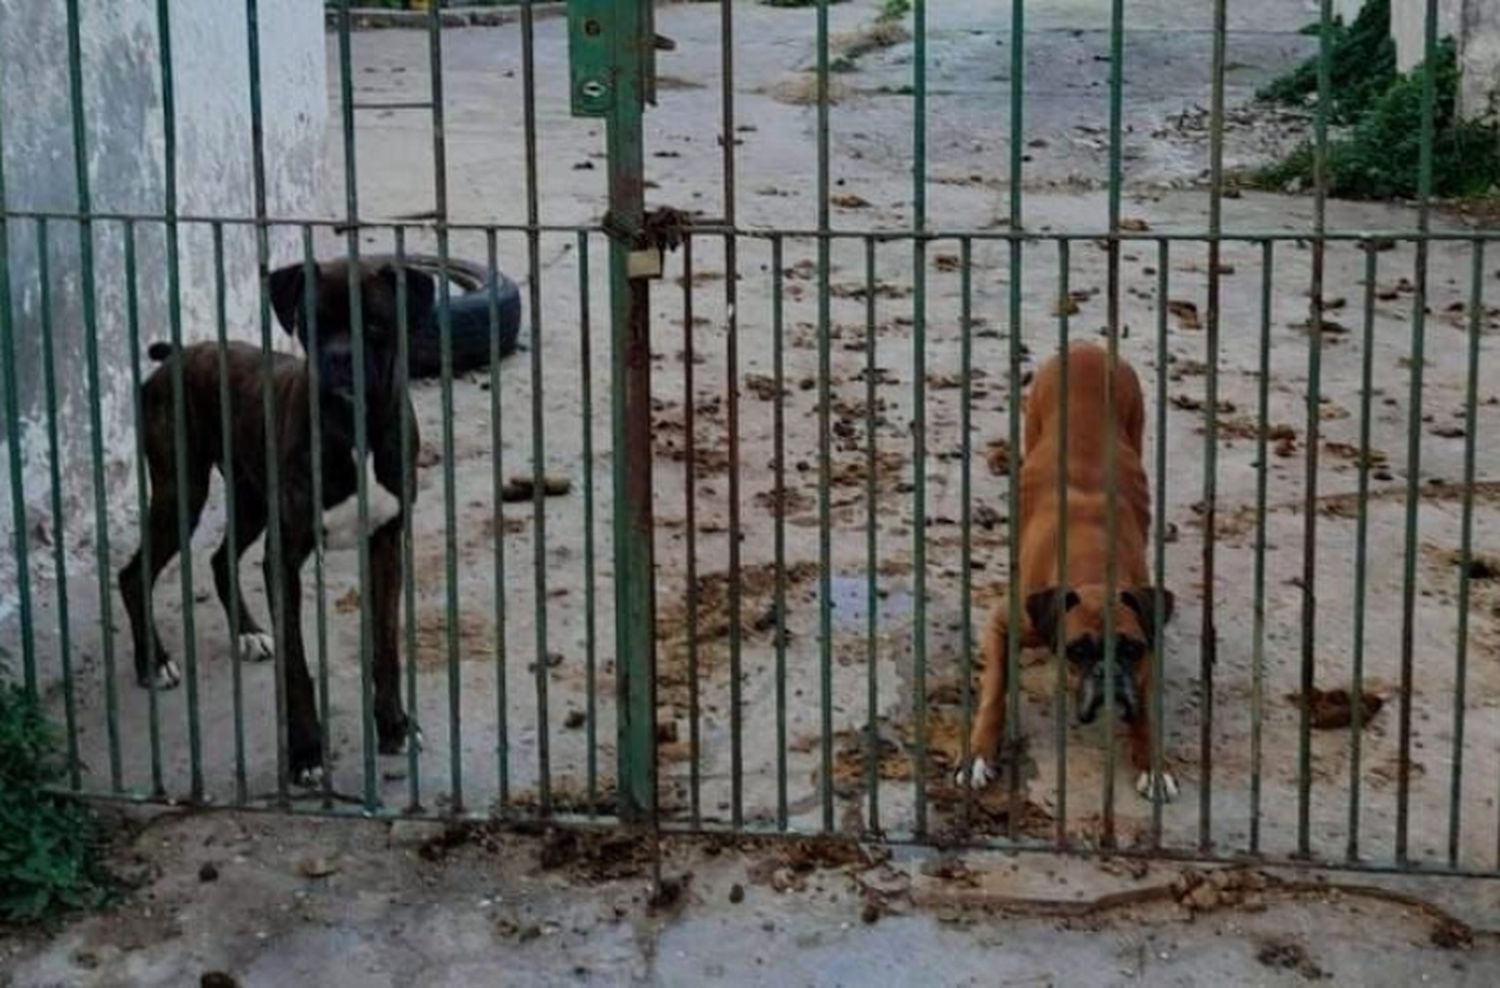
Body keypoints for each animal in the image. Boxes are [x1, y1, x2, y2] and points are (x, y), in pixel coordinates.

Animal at [966, 343, 1176, 797]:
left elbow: (1146, 710)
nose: (1108, 675)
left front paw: (1151, 760)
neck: (1093, 566)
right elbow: (994, 691)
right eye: (1077, 651)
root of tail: (1086, 346)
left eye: (1131, 649)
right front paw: (979, 753)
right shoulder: (1004, 624)